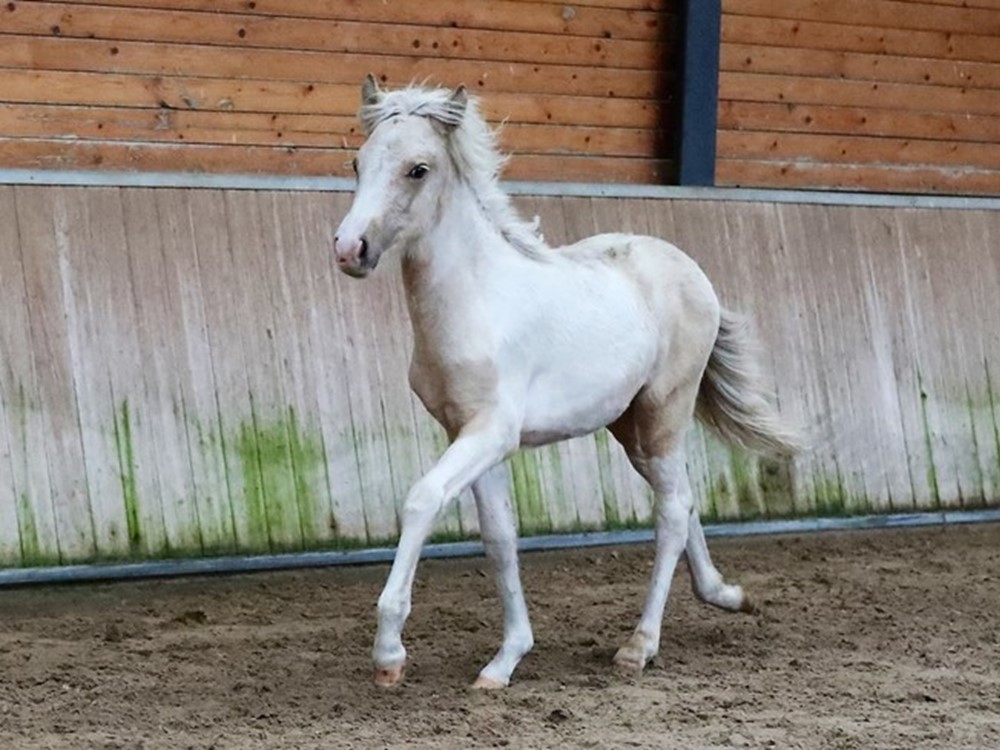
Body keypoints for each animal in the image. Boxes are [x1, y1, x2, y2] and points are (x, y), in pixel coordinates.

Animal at [334, 78, 796, 692]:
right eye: (358, 162)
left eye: (418, 169)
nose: (349, 249)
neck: (475, 301)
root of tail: (692, 272)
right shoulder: (469, 434)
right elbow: (500, 538)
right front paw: (504, 660)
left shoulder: (491, 433)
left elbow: (422, 499)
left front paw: (389, 654)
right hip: (631, 429)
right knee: (683, 496)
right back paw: (727, 595)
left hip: (663, 413)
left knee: (672, 512)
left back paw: (639, 646)